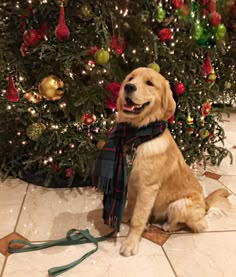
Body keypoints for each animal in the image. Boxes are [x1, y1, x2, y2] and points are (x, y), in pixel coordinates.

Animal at [116, 67, 230, 256]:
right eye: (130, 78)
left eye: (149, 83)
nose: (128, 87)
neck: (139, 136)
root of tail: (205, 205)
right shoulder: (132, 181)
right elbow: (130, 204)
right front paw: (125, 217)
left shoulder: (147, 188)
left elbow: (138, 219)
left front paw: (130, 243)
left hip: (179, 205)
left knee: (194, 225)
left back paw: (167, 225)